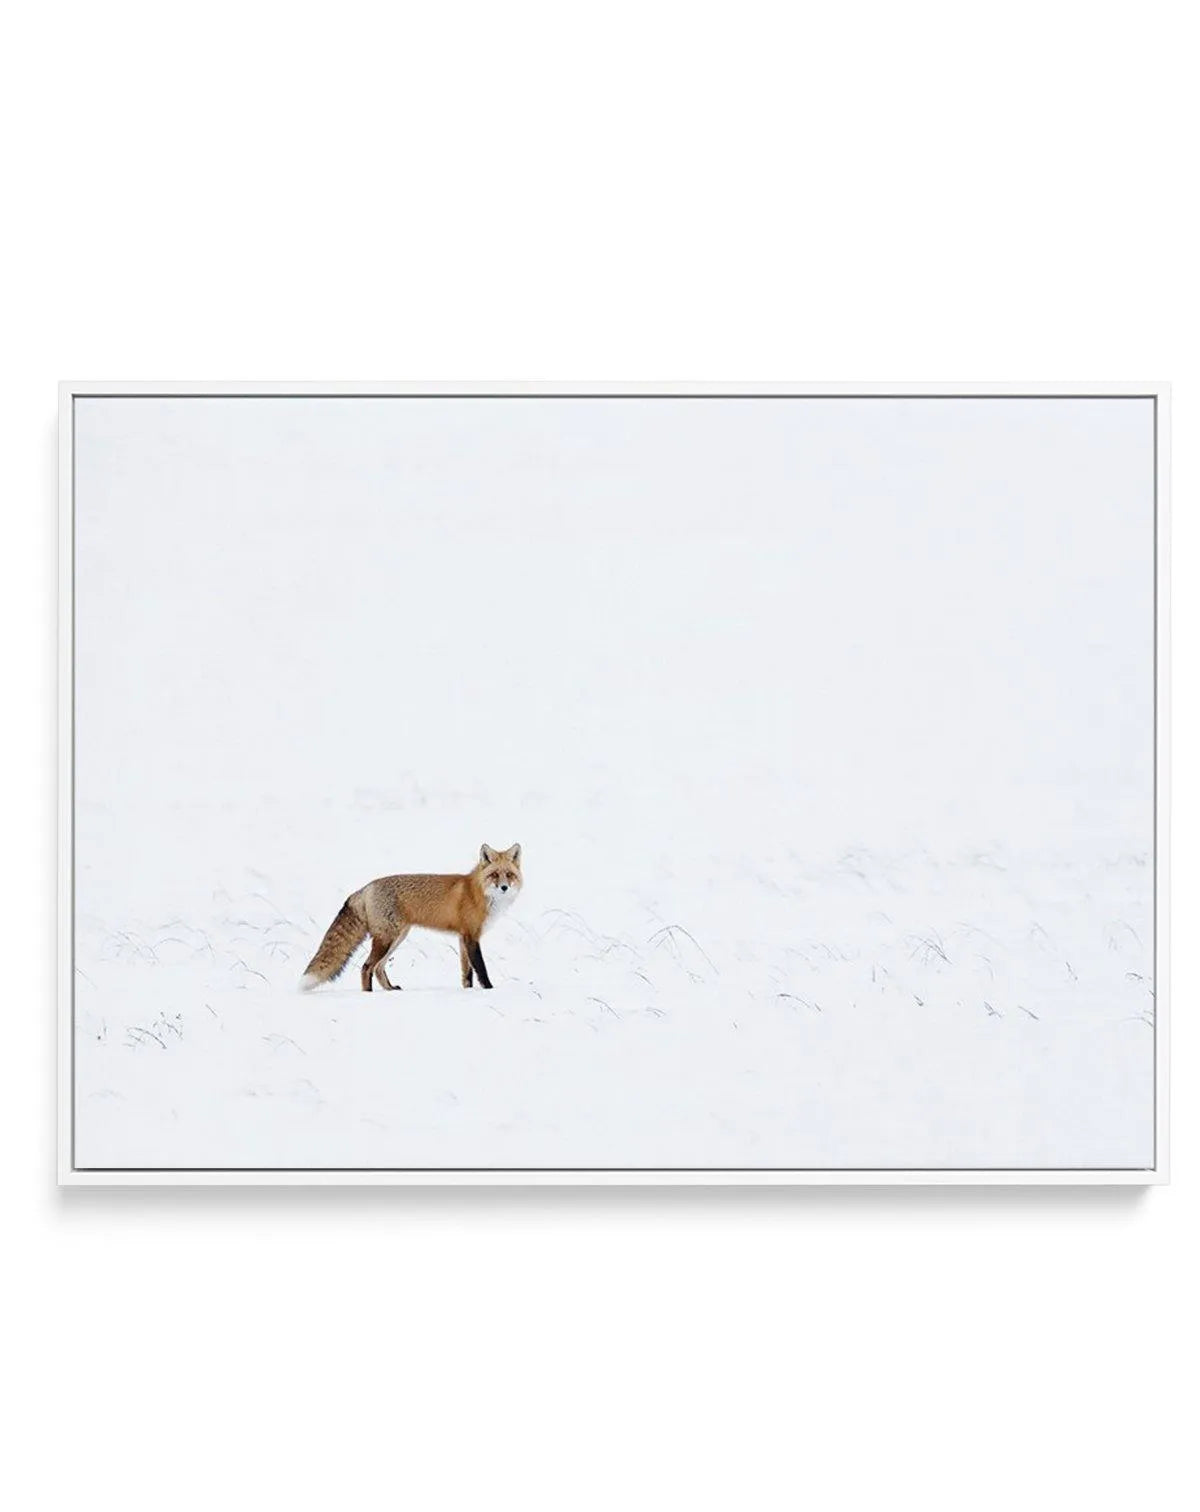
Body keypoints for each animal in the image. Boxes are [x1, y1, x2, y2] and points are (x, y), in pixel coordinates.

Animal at [300, 843, 522, 993]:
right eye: (495, 875)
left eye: (509, 875)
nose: (504, 887)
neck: (478, 892)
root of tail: (366, 887)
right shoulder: (471, 936)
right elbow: (481, 969)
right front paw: (489, 990)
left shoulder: (463, 938)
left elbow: (466, 973)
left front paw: (468, 991)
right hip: (387, 939)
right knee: (366, 967)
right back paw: (369, 995)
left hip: (397, 938)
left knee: (378, 968)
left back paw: (390, 989)